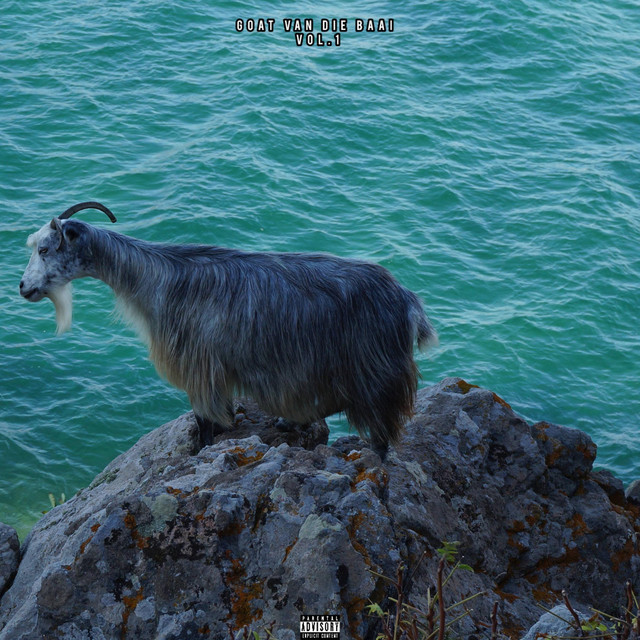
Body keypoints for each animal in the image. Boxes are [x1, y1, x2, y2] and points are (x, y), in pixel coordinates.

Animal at [20, 202, 437, 456]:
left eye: (45, 249)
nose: (23, 288)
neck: (157, 280)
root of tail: (409, 303)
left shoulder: (199, 368)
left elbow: (205, 421)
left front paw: (203, 452)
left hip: (374, 374)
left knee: (381, 432)